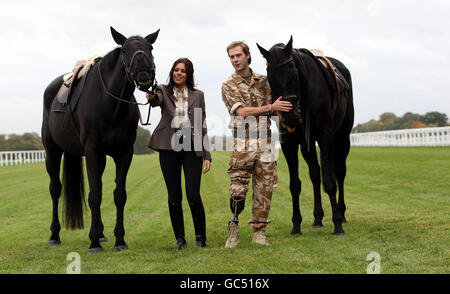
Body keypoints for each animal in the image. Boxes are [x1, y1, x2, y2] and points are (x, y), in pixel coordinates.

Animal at [40, 26, 160, 253]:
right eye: (125, 50)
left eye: (150, 48)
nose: (143, 73)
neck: (111, 104)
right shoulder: (93, 152)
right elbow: (94, 196)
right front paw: (93, 242)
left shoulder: (124, 153)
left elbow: (119, 195)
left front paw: (119, 240)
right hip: (52, 151)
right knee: (55, 189)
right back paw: (54, 235)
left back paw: (102, 233)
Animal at [258, 36, 354, 235]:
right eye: (270, 74)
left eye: (292, 70)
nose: (290, 115)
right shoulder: (289, 143)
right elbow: (295, 185)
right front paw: (296, 224)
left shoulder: (325, 137)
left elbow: (330, 182)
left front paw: (337, 225)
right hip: (306, 145)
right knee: (315, 174)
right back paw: (318, 218)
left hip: (342, 137)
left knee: (340, 172)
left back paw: (341, 214)